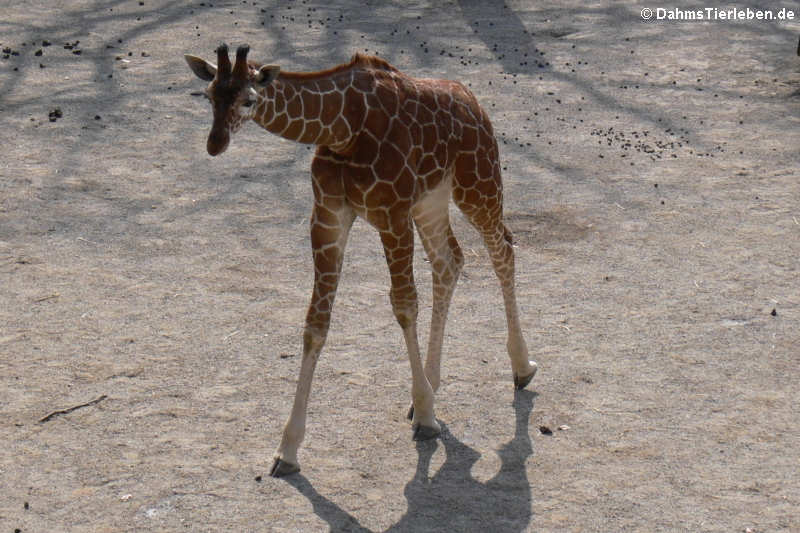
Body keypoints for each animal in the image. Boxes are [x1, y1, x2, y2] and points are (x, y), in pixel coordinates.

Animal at [185, 44, 538, 477]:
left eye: (249, 99)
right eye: (208, 96)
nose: (215, 143)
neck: (342, 128)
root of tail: (473, 101)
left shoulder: (392, 214)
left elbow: (404, 305)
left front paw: (426, 417)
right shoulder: (327, 216)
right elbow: (316, 323)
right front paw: (288, 450)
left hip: (478, 182)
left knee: (503, 249)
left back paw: (521, 367)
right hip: (432, 200)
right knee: (449, 260)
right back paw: (432, 382)